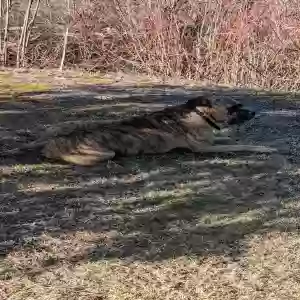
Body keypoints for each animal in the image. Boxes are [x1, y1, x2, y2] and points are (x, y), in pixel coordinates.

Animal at [5, 95, 276, 166]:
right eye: (235, 107)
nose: (255, 113)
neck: (200, 114)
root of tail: (52, 143)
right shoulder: (203, 148)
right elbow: (241, 144)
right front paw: (263, 146)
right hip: (101, 152)